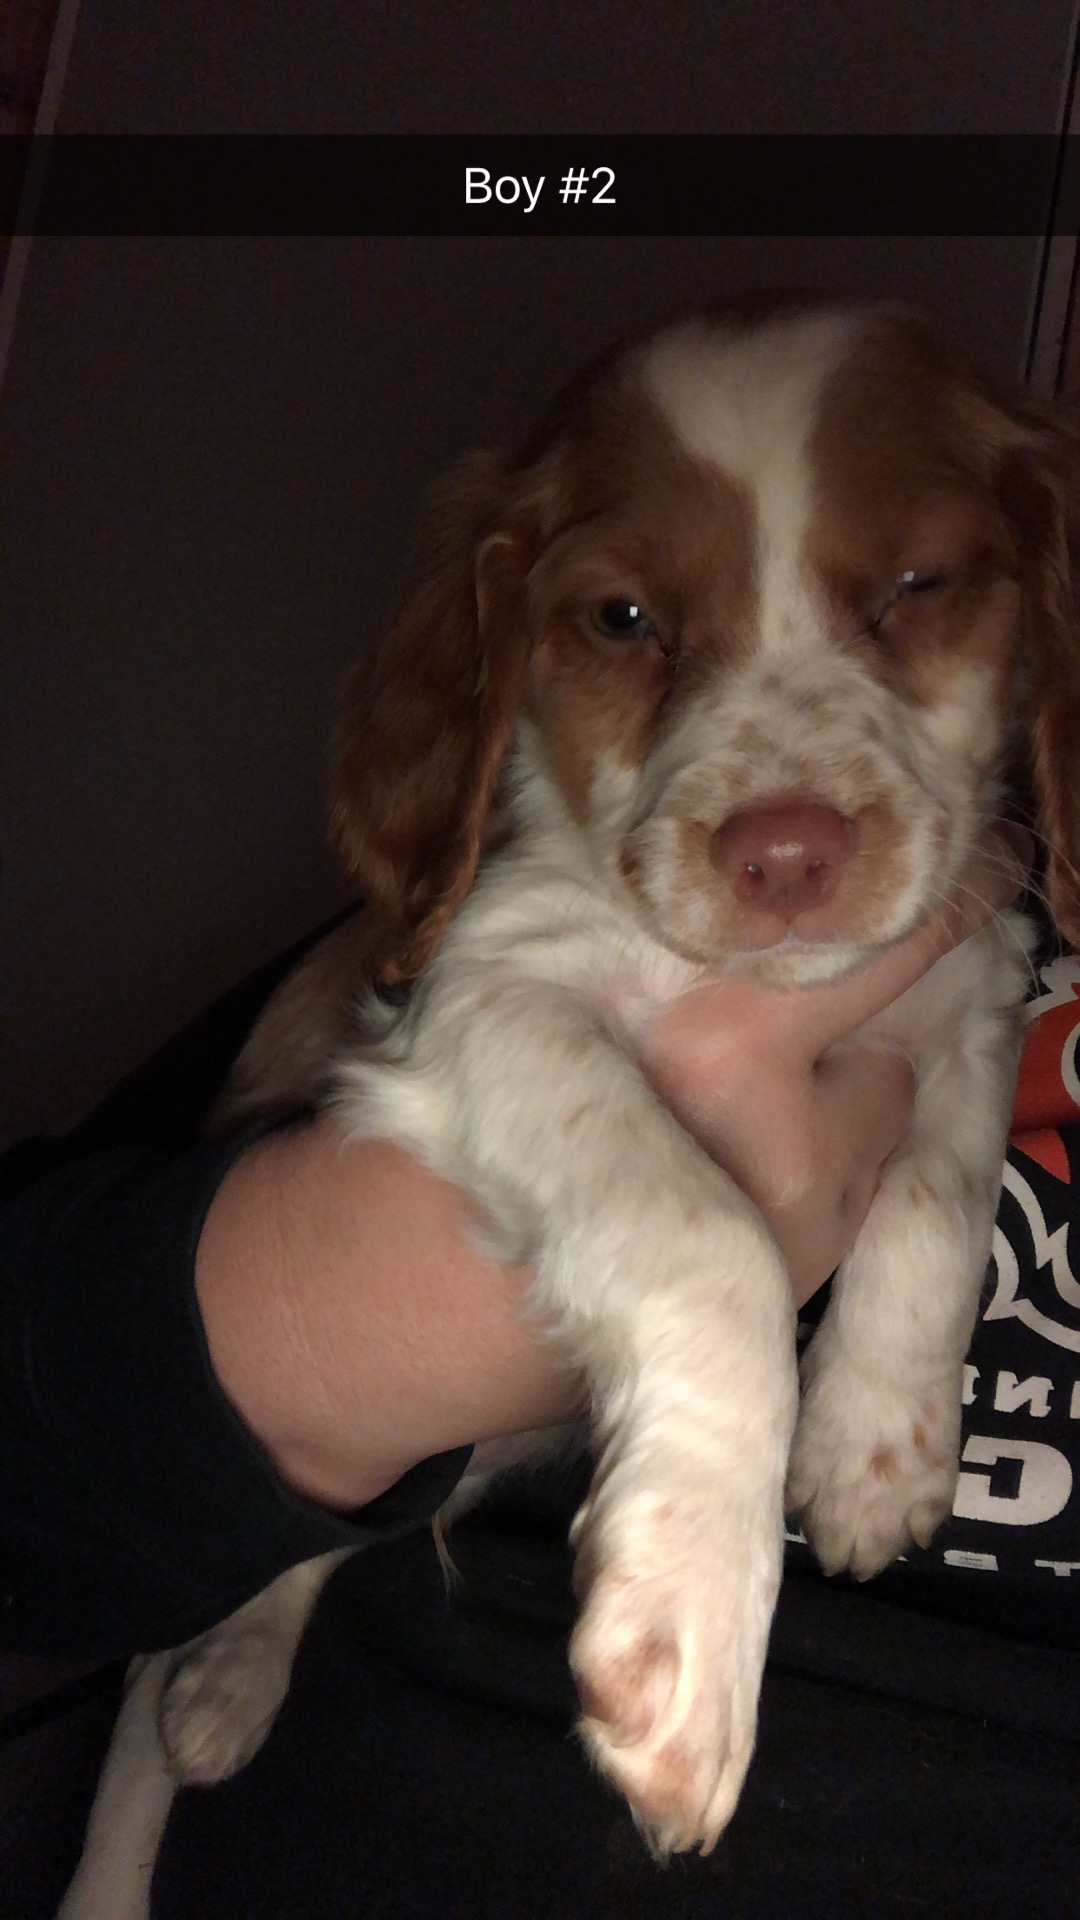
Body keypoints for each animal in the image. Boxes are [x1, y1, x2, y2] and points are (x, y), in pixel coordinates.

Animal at [60, 293, 1080, 1917]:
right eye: (621, 620)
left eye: (922, 584)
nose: (787, 853)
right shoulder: (485, 998)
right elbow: (713, 1240)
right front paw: (693, 1626)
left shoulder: (968, 978)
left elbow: (944, 1187)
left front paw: (874, 1450)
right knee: (165, 1680)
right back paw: (191, 1719)